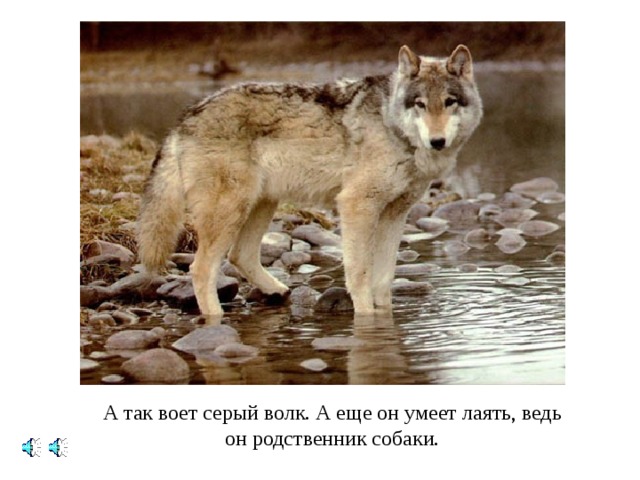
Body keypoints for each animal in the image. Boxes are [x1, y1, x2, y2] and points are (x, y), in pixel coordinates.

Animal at [137, 44, 483, 317]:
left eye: (449, 102)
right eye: (420, 104)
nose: (437, 141)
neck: (392, 127)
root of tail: (186, 117)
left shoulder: (395, 215)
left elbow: (384, 279)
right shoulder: (356, 206)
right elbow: (359, 274)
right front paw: (366, 317)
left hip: (262, 204)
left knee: (240, 256)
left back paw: (277, 291)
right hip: (231, 211)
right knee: (201, 269)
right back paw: (216, 320)